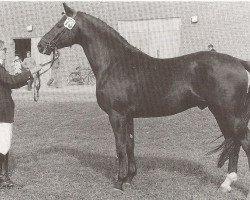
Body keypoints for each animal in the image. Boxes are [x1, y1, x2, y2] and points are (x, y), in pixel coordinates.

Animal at [37, 3, 250, 197]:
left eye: (59, 25)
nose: (40, 45)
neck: (115, 63)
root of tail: (239, 62)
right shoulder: (128, 116)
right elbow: (130, 144)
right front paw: (130, 178)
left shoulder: (116, 115)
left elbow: (120, 147)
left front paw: (119, 182)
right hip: (221, 114)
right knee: (234, 143)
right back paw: (226, 184)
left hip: (230, 115)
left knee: (244, 142)